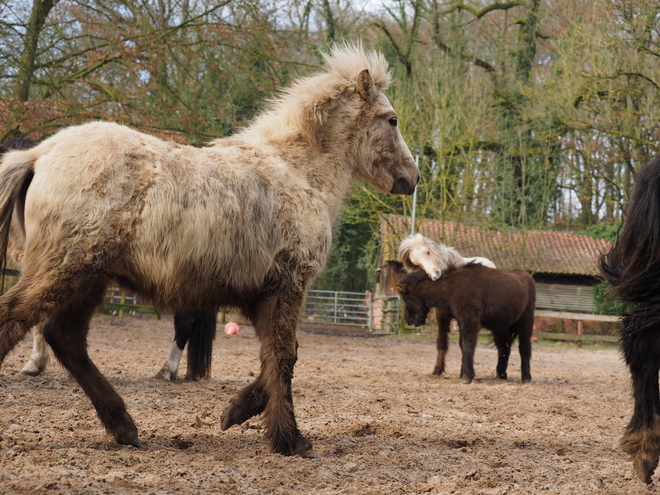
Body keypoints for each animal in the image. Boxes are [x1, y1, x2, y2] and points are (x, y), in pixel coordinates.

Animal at [0, 44, 418, 460]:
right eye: (392, 120)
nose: (412, 178)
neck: (296, 172)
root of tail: (41, 153)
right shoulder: (288, 285)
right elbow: (283, 356)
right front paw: (290, 439)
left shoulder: (261, 293)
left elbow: (281, 356)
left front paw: (235, 412)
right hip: (67, 269)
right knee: (21, 322)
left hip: (89, 278)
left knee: (65, 338)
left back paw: (125, 427)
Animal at [394, 266, 532, 386]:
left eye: (407, 298)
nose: (409, 320)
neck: (451, 287)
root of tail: (526, 276)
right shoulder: (461, 321)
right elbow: (462, 345)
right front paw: (464, 374)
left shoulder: (470, 321)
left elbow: (468, 346)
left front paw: (466, 376)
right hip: (500, 327)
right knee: (504, 347)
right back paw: (501, 374)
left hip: (525, 322)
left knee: (524, 347)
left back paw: (526, 378)